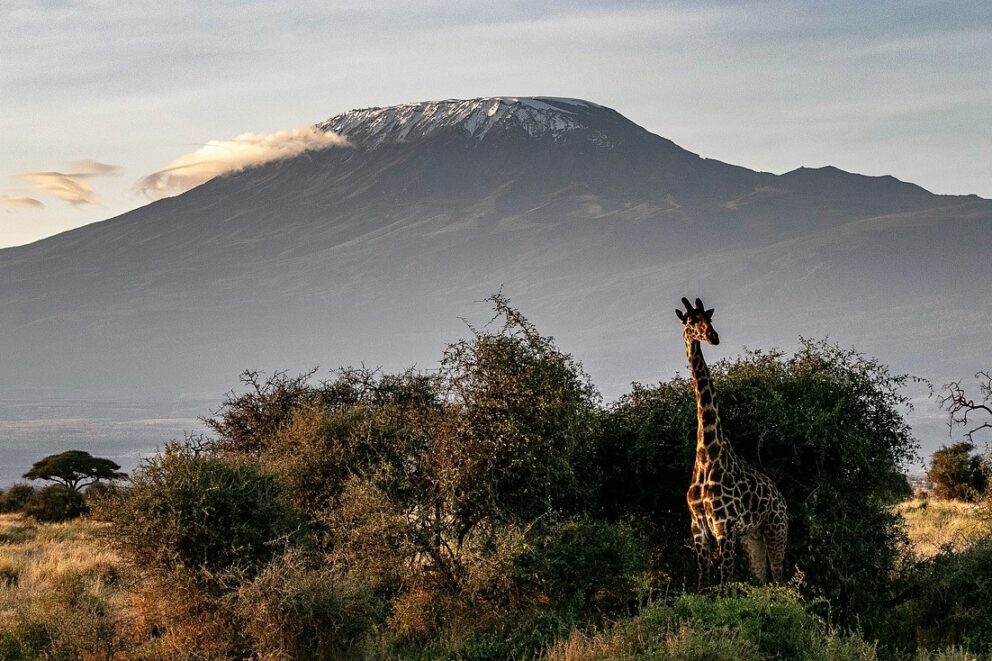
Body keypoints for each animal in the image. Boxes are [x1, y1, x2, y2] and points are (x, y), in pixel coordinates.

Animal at [677, 297, 788, 589]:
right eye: (691, 322)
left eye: (709, 319)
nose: (713, 337)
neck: (707, 453)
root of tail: (782, 499)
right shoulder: (698, 529)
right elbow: (703, 585)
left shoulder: (724, 526)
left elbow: (725, 585)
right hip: (752, 538)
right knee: (763, 580)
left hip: (776, 529)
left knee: (782, 580)